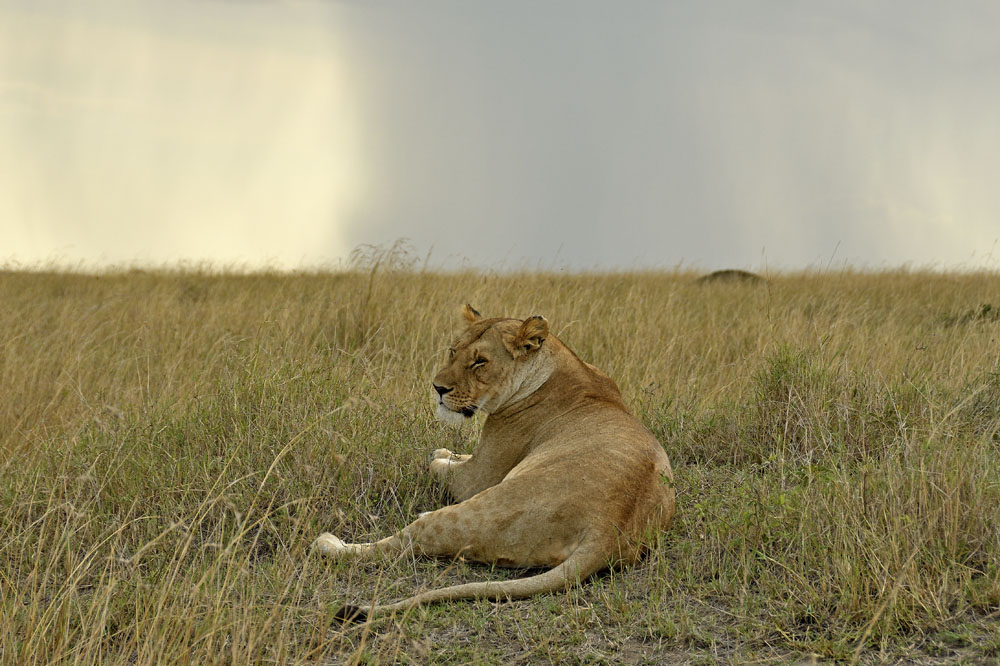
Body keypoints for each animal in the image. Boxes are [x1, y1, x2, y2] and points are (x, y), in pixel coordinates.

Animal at [314, 305, 675, 622]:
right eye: (453, 351)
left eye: (480, 362)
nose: (438, 388)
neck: (560, 364)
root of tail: (608, 528)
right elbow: (448, 457)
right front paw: (445, 452)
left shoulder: (480, 475)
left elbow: (437, 466)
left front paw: (438, 457)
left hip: (481, 510)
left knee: (405, 542)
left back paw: (332, 543)